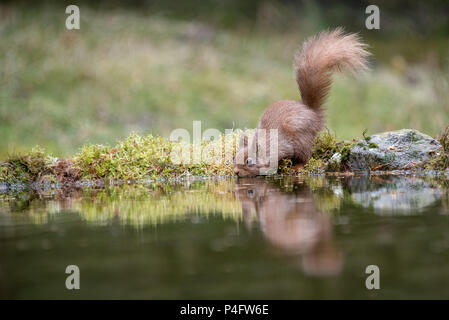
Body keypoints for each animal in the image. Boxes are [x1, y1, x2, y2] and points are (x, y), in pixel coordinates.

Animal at [233, 28, 370, 178]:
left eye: (249, 161)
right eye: (234, 158)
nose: (236, 172)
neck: (267, 147)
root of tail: (312, 112)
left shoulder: (283, 147)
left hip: (301, 139)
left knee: (305, 157)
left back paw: (297, 167)